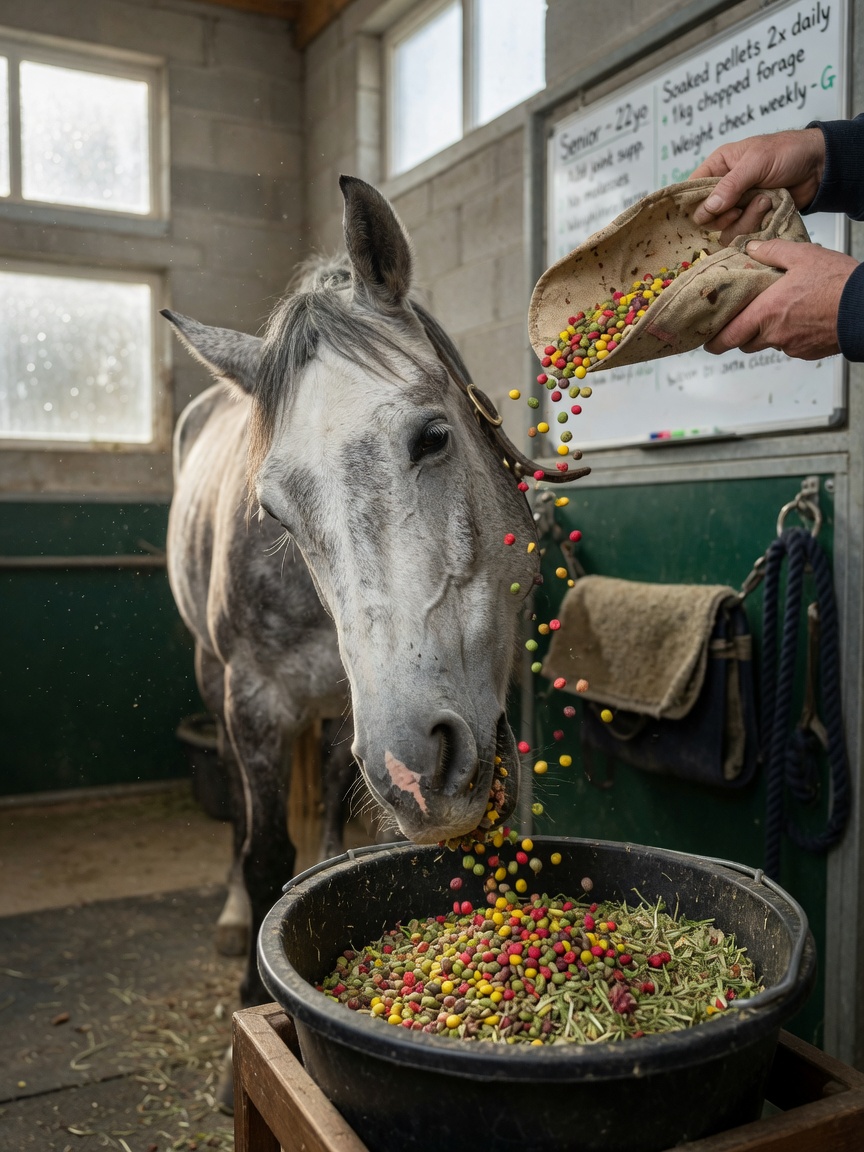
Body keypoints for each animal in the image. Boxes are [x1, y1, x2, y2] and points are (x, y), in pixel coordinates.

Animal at [164, 175, 585, 1107]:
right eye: (274, 509)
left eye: (432, 436)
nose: (418, 769)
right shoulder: (257, 703)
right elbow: (264, 850)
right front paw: (243, 1037)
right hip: (224, 683)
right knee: (239, 815)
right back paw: (230, 916)